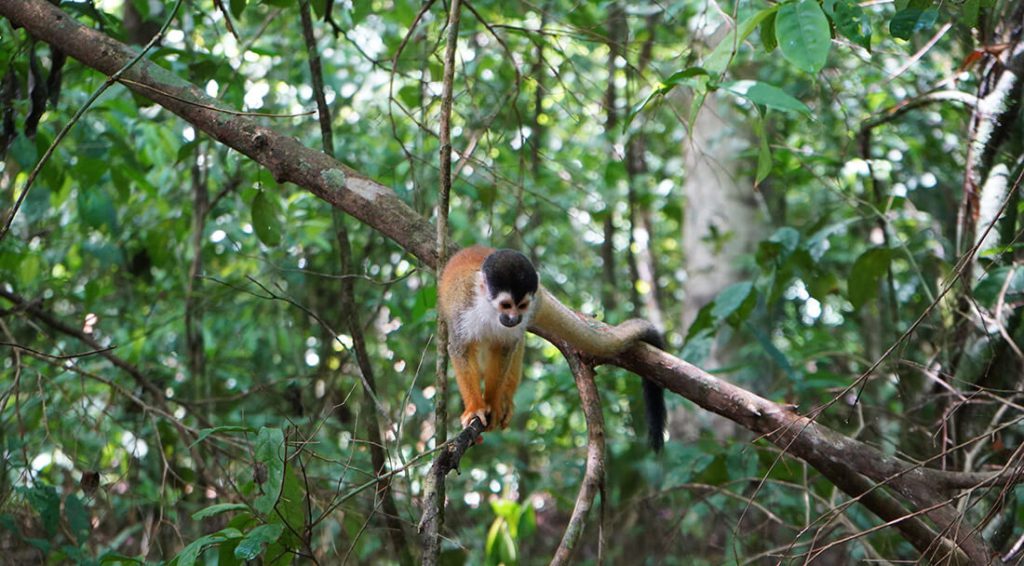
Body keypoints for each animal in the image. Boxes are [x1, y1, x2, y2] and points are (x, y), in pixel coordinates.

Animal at [438, 245, 667, 451]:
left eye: (521, 306)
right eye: (506, 305)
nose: (513, 318)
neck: (489, 309)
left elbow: (505, 349)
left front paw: (493, 404)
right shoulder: (463, 310)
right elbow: (459, 349)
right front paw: (476, 408)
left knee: (514, 343)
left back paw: (506, 399)